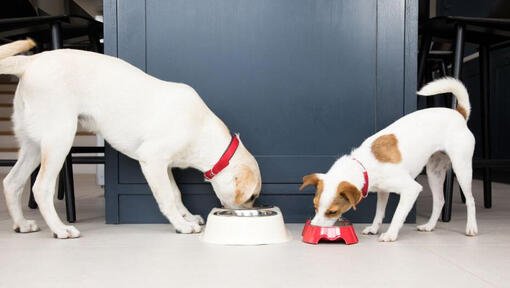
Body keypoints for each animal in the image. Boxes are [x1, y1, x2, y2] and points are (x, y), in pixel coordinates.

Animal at [0, 40, 260, 238]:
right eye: (252, 197)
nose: (248, 212)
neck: (202, 130)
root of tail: (31, 61)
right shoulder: (152, 160)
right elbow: (167, 197)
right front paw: (181, 225)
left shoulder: (164, 167)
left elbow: (176, 193)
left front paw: (187, 216)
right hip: (59, 139)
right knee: (40, 187)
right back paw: (61, 229)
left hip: (34, 146)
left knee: (12, 182)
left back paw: (22, 224)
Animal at [298, 76, 478, 241]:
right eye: (315, 206)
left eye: (332, 212)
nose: (313, 227)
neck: (364, 165)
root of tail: (459, 114)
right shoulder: (383, 190)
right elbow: (380, 212)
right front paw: (374, 228)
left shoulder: (411, 189)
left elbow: (398, 215)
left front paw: (390, 234)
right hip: (434, 172)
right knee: (440, 200)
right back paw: (429, 226)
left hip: (461, 168)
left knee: (470, 200)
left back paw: (471, 227)